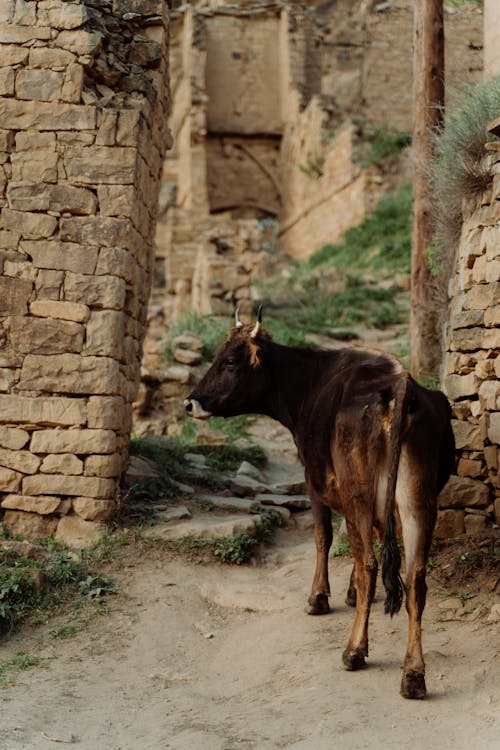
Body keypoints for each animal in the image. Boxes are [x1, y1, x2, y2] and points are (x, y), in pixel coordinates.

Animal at [185, 310, 458, 700]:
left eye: (231, 360)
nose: (190, 402)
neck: (309, 383)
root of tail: (400, 386)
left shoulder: (314, 481)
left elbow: (323, 537)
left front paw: (319, 596)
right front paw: (350, 593)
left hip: (360, 493)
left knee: (370, 564)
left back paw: (354, 650)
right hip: (416, 501)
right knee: (414, 579)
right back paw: (413, 675)